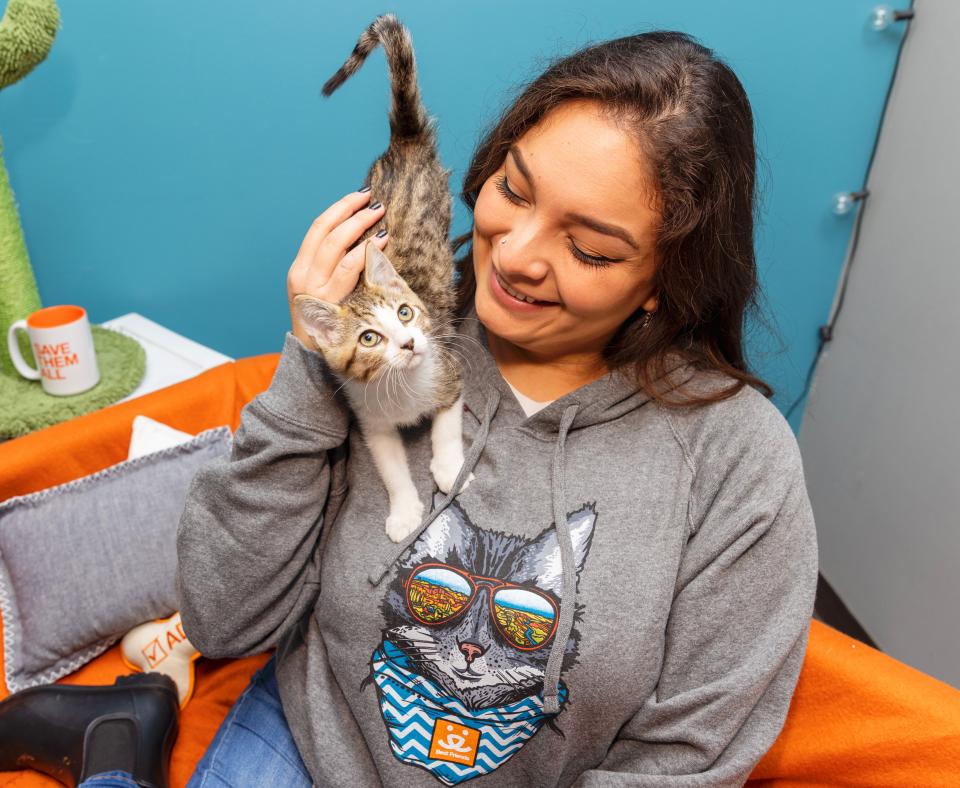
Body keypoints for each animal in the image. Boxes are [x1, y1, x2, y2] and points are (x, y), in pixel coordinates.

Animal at [296, 13, 468, 540]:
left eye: (406, 312)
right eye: (369, 338)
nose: (410, 343)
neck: (402, 387)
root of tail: (403, 142)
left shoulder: (450, 372)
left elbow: (447, 426)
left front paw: (449, 468)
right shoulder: (370, 420)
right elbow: (390, 467)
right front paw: (405, 511)